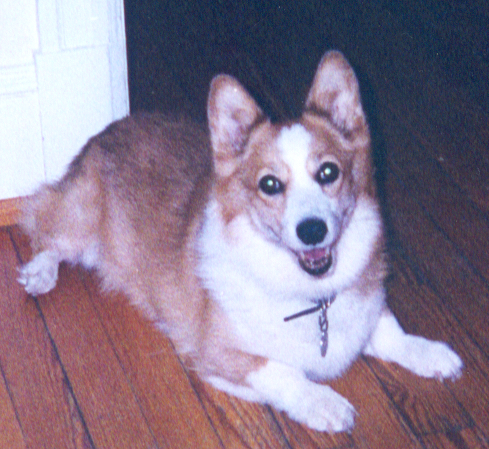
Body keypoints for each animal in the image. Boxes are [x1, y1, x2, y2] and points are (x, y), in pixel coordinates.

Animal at [18, 50, 462, 432]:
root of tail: (108, 128)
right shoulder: (220, 354)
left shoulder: (365, 315)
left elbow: (391, 331)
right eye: (270, 184)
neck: (311, 297)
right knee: (44, 225)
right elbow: (285, 371)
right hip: (80, 218)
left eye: (328, 172)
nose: (313, 230)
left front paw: (431, 353)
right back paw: (40, 272)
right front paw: (324, 403)